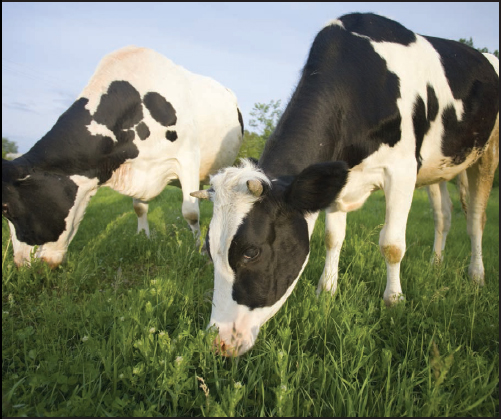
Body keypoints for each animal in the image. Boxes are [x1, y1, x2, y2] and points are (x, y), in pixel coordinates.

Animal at [1, 46, 244, 270]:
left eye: (6, 209)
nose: (20, 264)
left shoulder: (187, 157)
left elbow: (190, 212)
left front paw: (198, 250)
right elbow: (139, 208)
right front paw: (144, 237)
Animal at [190, 13, 496, 356]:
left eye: (251, 252)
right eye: (208, 249)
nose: (219, 342)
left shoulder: (402, 169)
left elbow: (392, 244)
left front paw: (394, 301)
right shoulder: (339, 180)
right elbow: (332, 238)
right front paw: (327, 290)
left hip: (487, 154)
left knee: (475, 218)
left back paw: (476, 275)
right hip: (436, 169)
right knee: (443, 215)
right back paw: (436, 265)